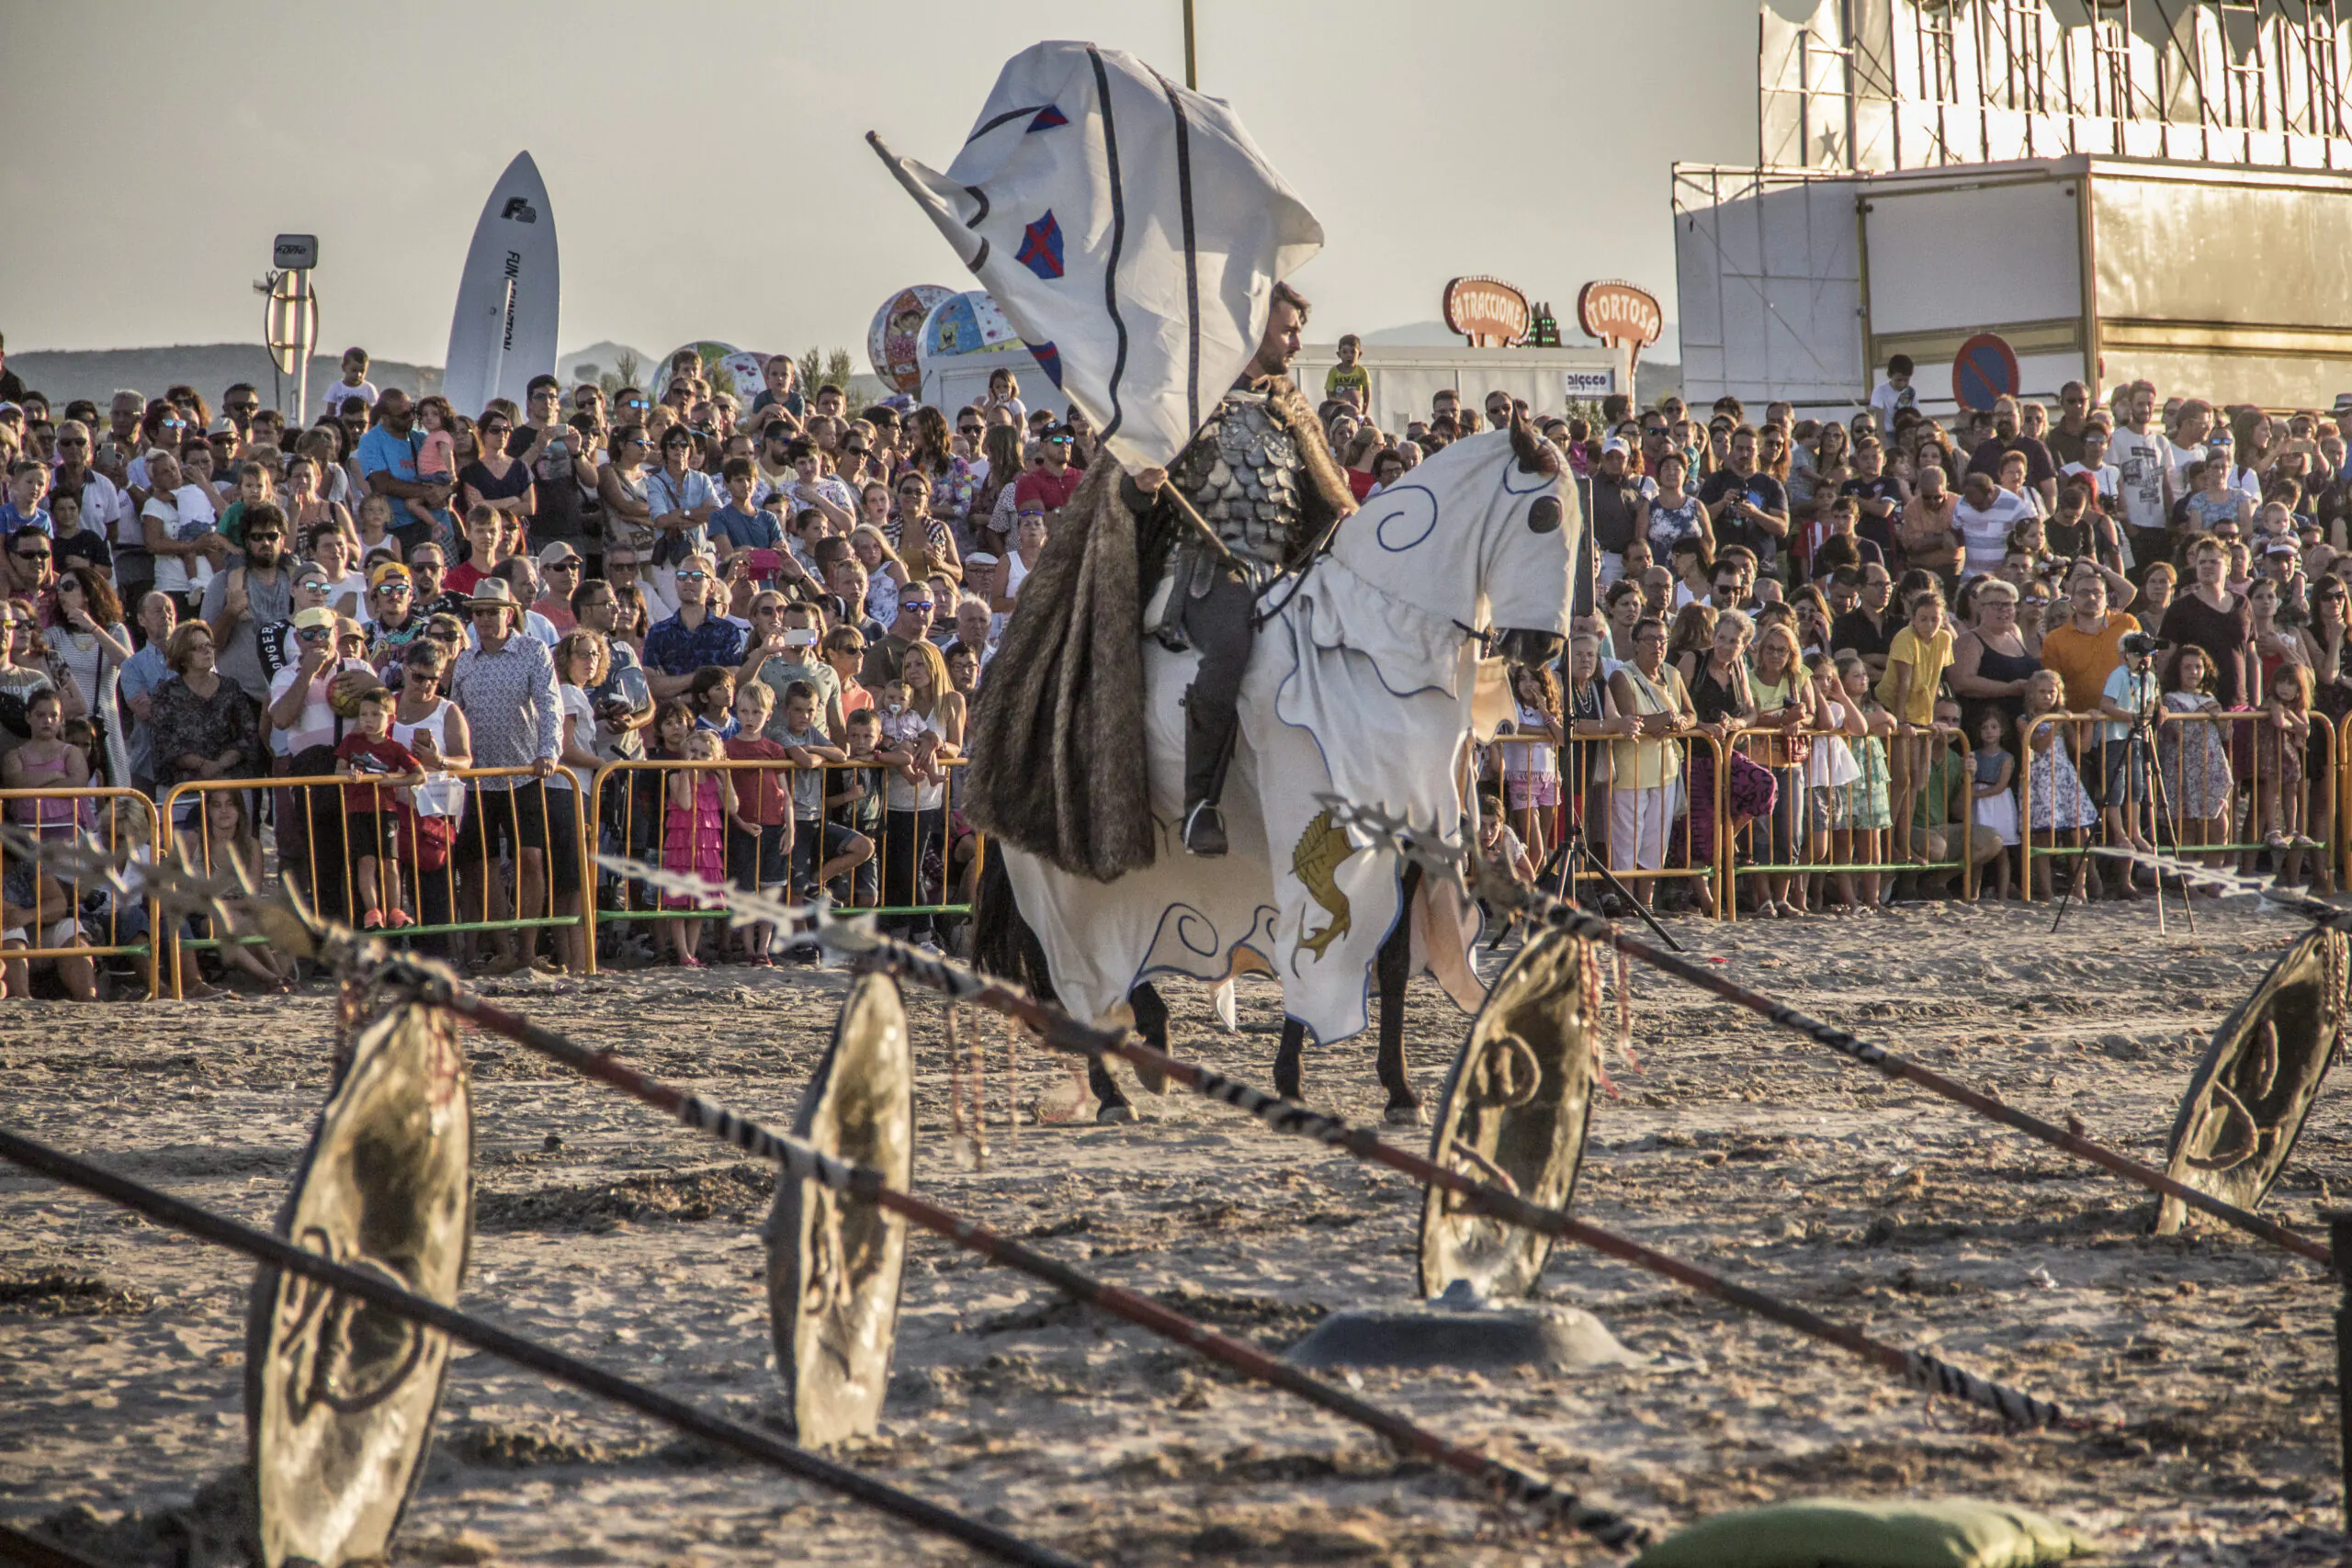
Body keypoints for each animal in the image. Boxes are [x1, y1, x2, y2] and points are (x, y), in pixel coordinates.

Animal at [1001, 423, 1571, 1048]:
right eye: (1545, 514)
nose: (1543, 647)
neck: (1373, 640)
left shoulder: (1412, 838)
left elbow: (1392, 962)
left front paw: (1394, 1077)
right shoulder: (1316, 819)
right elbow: (1315, 957)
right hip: (1058, 880)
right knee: (1074, 969)